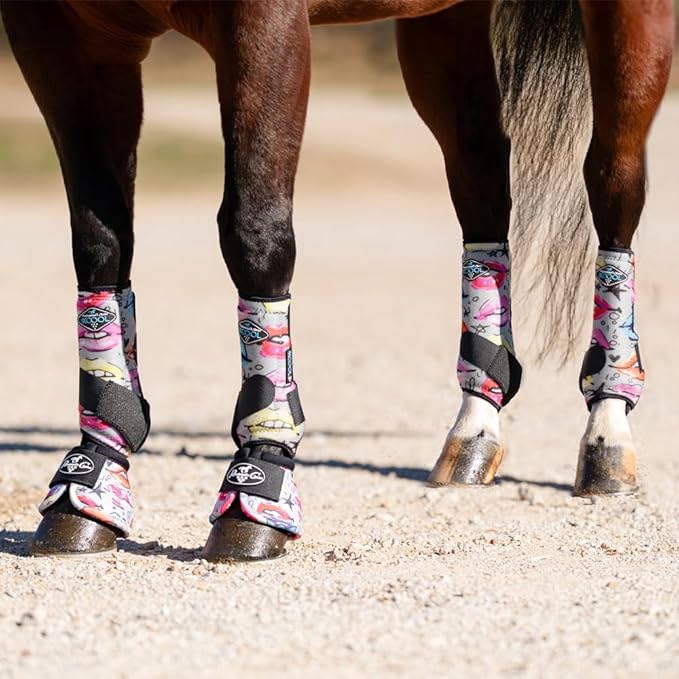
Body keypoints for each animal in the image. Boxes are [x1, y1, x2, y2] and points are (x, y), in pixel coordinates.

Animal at [0, 0, 673, 561]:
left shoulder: (264, 23)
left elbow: (254, 232)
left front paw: (258, 486)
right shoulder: (59, 37)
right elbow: (101, 243)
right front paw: (92, 476)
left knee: (614, 176)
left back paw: (609, 426)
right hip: (442, 22)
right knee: (481, 173)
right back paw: (475, 426)